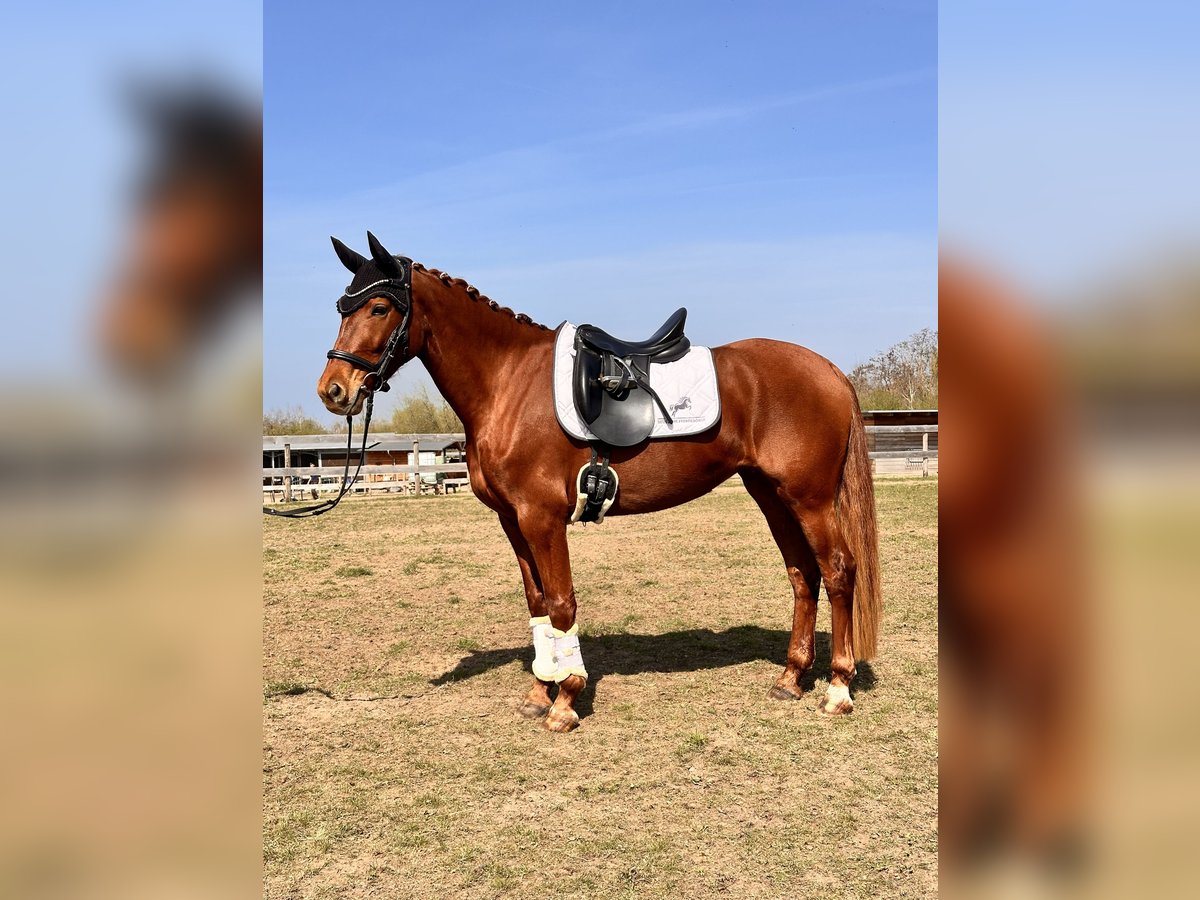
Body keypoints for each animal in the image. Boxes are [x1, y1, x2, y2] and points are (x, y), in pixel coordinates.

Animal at [316, 233, 881, 732]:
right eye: (342, 308)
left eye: (379, 308)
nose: (333, 391)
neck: (507, 384)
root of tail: (829, 370)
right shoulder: (512, 520)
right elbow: (538, 603)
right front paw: (539, 691)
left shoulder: (542, 518)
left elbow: (562, 602)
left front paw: (566, 701)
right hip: (771, 495)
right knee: (802, 575)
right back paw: (790, 678)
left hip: (809, 499)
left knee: (838, 570)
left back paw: (837, 688)